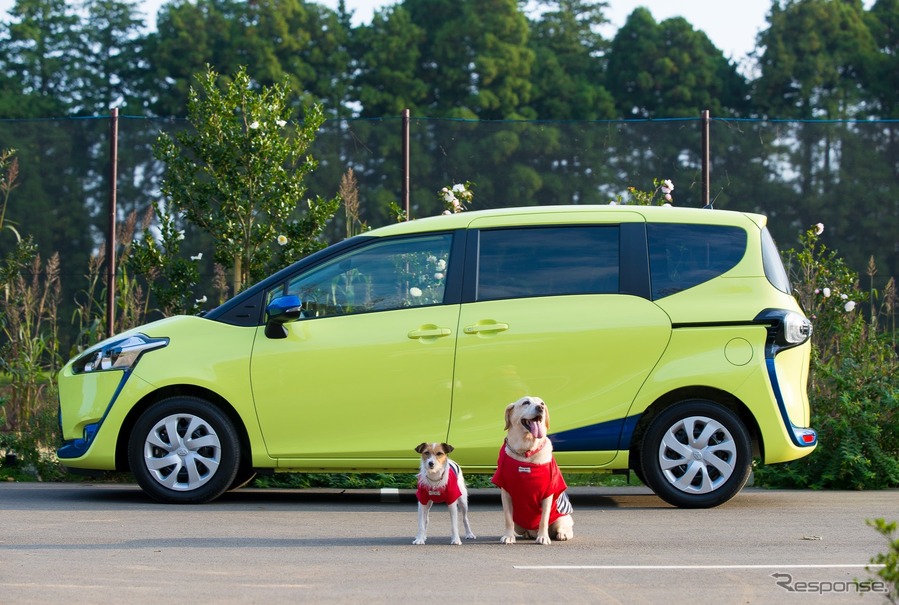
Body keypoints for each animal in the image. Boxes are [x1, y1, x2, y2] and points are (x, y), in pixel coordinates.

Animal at [492, 394, 576, 544]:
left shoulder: (548, 492)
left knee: (565, 528)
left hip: (563, 517)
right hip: (519, 524)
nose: (540, 408)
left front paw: (543, 537)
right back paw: (528, 534)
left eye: (542, 403)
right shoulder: (505, 490)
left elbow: (543, 519)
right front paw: (508, 536)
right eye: (526, 402)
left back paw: (561, 534)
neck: (526, 452)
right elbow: (508, 518)